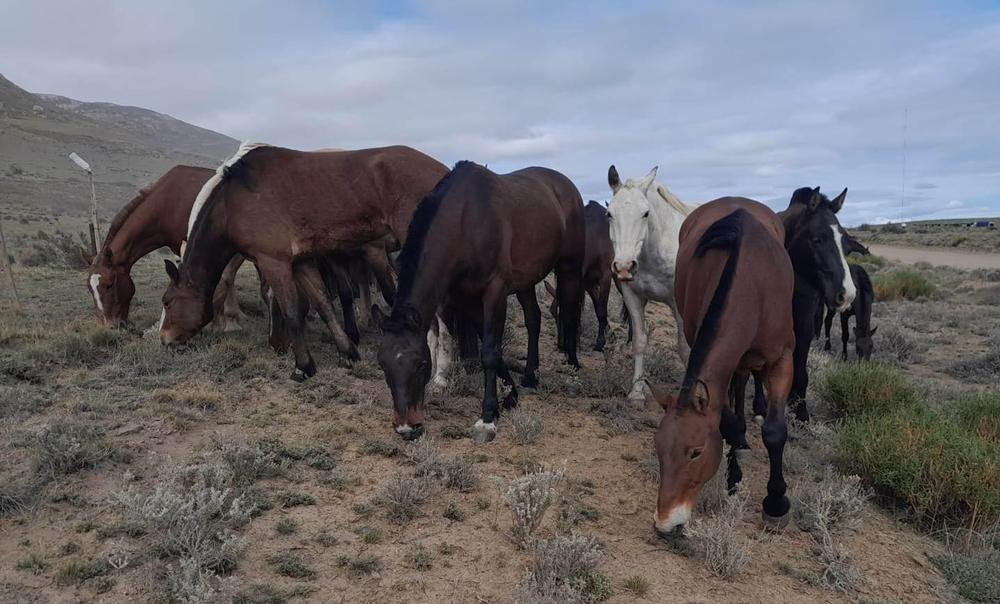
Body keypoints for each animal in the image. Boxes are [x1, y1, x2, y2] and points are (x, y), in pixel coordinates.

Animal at [160, 143, 448, 381]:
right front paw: (348, 352)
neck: (233, 202)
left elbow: (292, 312)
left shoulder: (273, 262)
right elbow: (323, 304)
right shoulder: (301, 263)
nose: (164, 340)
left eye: (167, 302)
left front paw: (303, 366)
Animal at [377, 161, 585, 443]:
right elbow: (491, 346)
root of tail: (566, 185)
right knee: (533, 319)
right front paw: (510, 394)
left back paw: (573, 370)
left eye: (421, 363)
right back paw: (530, 377)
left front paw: (487, 417)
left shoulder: (495, 291)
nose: (406, 428)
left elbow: (488, 350)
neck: (467, 219)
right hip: (526, 281)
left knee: (571, 315)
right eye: (383, 364)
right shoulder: (464, 296)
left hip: (569, 268)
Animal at [544, 200, 614, 352]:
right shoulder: (586, 281)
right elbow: (597, 306)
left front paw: (600, 343)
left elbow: (601, 309)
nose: (561, 345)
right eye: (553, 313)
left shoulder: (606, 276)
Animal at [606, 165, 695, 400]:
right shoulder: (633, 296)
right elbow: (639, 341)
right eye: (609, 213)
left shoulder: (679, 304)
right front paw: (637, 392)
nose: (624, 266)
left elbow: (684, 348)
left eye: (645, 213)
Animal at [646, 197, 794, 537]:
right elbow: (728, 422)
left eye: (696, 451)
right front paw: (732, 477)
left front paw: (776, 503)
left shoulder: (783, 359)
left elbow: (775, 431)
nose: (665, 523)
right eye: (658, 448)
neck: (752, 281)